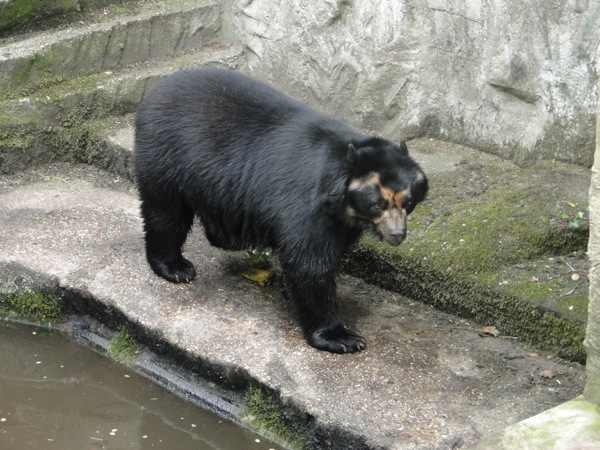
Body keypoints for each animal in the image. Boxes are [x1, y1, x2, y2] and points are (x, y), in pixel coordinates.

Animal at [134, 68, 428, 354]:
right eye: (378, 204)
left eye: (408, 203)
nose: (397, 234)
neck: (339, 201)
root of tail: (158, 87)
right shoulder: (306, 204)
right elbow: (310, 264)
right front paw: (341, 337)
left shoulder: (341, 222)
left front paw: (289, 290)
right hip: (166, 153)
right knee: (166, 213)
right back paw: (175, 267)